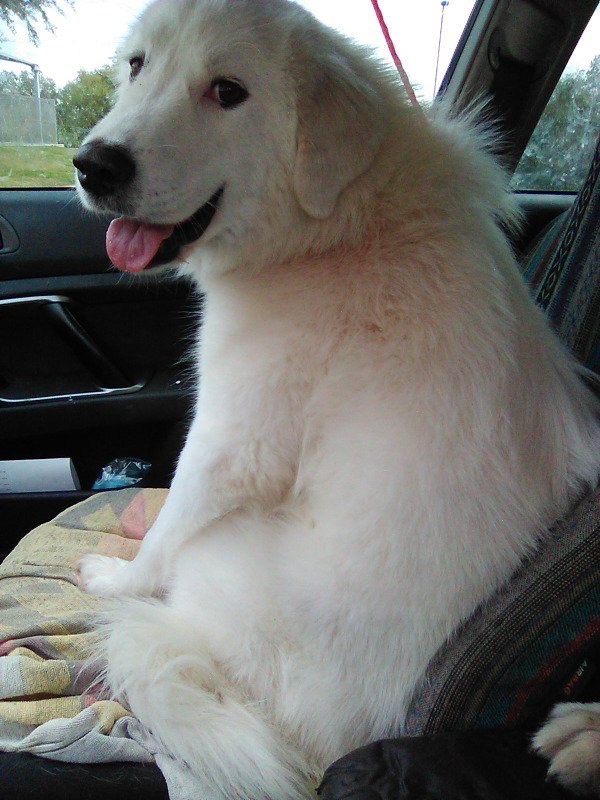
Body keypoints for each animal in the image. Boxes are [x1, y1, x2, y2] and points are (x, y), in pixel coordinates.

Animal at [73, 0, 600, 797]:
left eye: (228, 92)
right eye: (138, 65)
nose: (93, 164)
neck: (336, 227)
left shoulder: (230, 445)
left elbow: (160, 543)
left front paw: (114, 577)